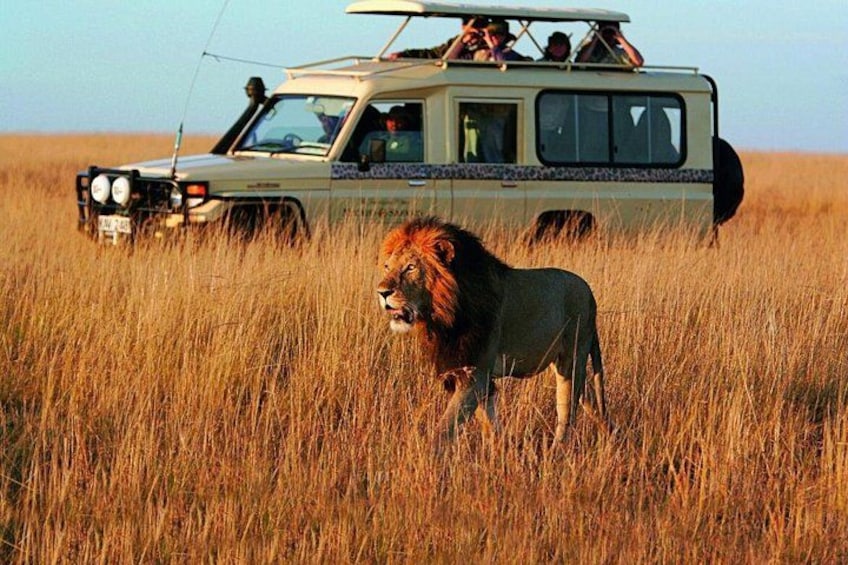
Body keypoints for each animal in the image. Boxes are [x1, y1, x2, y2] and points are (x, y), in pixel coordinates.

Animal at [376, 216, 607, 448]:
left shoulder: (475, 373)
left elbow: (445, 428)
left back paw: (558, 449)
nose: (382, 292)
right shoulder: (468, 372)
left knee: (568, 411)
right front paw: (501, 448)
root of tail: (590, 293)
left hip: (572, 357)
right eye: (387, 267)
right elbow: (489, 423)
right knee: (590, 399)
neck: (445, 314)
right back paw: (610, 434)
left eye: (410, 267)